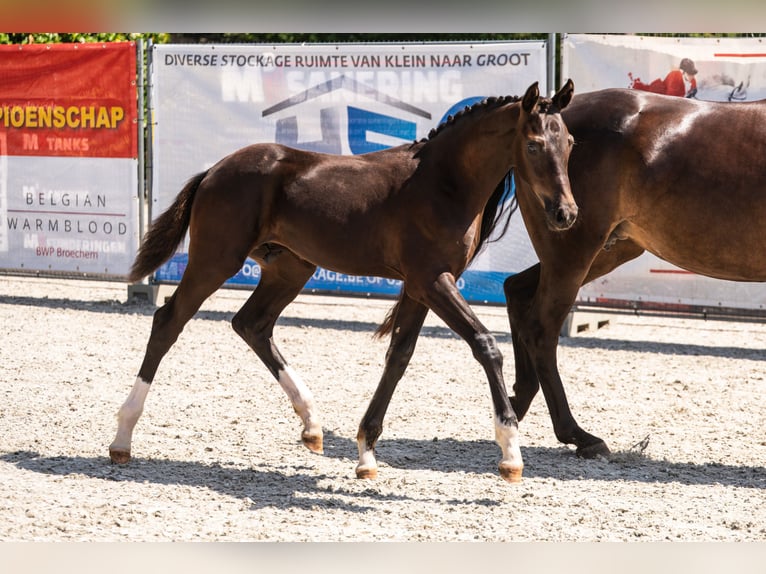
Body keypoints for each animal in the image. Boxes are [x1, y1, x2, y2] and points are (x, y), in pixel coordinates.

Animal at [109, 80, 577, 483]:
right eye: (534, 144)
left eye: (569, 142)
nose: (566, 214)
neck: (442, 184)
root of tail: (213, 171)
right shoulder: (433, 279)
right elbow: (485, 345)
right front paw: (510, 451)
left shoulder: (419, 286)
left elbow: (399, 356)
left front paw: (367, 453)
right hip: (215, 260)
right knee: (169, 321)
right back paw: (122, 438)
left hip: (290, 268)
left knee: (252, 324)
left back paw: (311, 424)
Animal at [502, 87, 766, 459]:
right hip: (573, 251)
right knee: (540, 327)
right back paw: (579, 435)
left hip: (604, 250)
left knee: (517, 290)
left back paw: (516, 402)